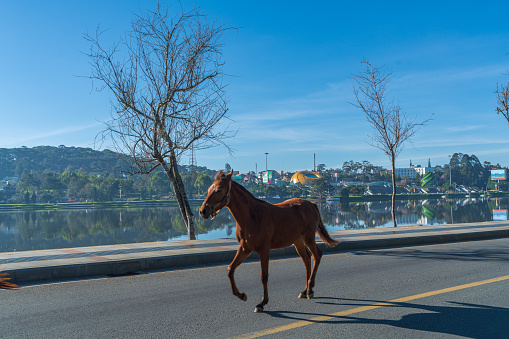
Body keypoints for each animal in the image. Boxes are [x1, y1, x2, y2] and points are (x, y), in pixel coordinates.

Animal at [198, 173, 338, 314]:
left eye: (219, 190)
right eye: (209, 189)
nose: (203, 211)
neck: (251, 216)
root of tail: (311, 204)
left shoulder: (264, 249)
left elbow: (263, 276)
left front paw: (262, 302)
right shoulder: (245, 248)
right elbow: (230, 269)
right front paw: (241, 295)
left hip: (308, 237)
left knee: (317, 255)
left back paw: (309, 290)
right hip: (297, 241)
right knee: (307, 259)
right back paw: (305, 290)